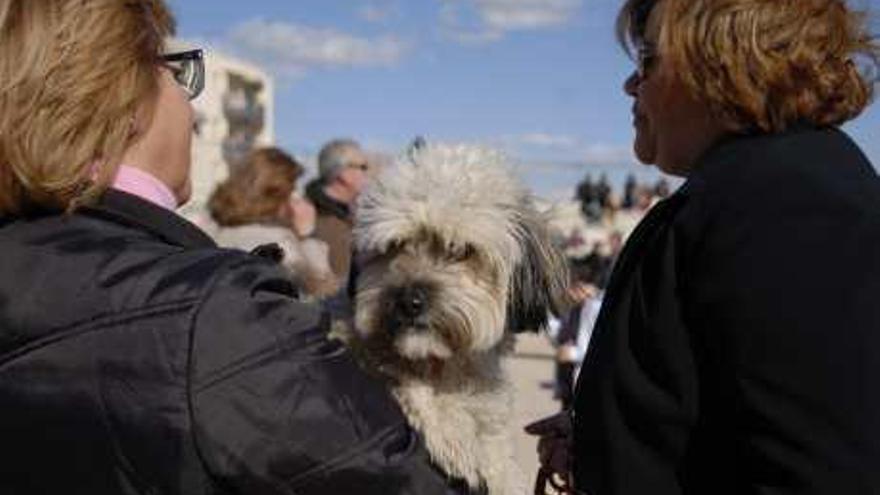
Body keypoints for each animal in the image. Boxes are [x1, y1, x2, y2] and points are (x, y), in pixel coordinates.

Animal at [350, 145, 572, 494]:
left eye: (461, 250)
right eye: (395, 245)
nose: (409, 301)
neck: (447, 365)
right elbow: (396, 369)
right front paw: (455, 435)